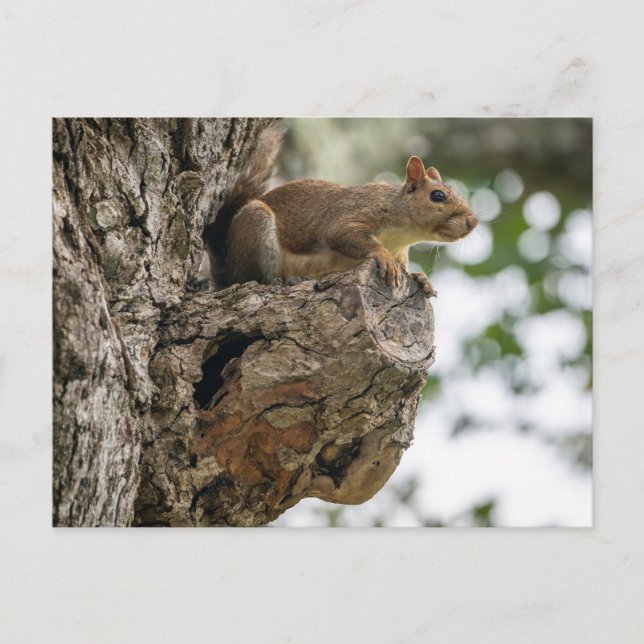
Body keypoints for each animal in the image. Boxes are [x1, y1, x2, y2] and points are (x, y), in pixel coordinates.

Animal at [204, 128, 477, 296]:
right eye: (437, 196)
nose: (473, 222)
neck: (402, 235)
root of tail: (226, 269)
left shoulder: (402, 252)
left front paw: (421, 278)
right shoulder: (354, 213)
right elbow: (343, 234)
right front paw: (382, 256)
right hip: (255, 227)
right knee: (254, 279)